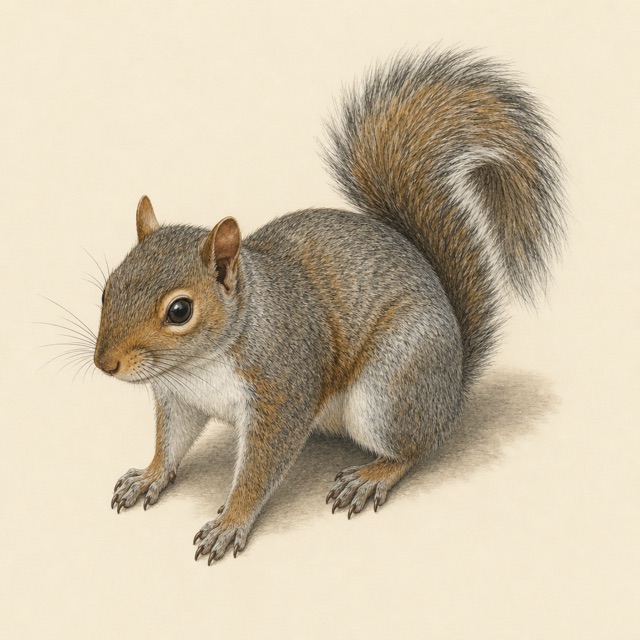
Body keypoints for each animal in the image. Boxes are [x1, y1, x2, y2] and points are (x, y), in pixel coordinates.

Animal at [95, 49, 565, 564]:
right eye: (106, 290)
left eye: (180, 311)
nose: (104, 363)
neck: (199, 364)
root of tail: (453, 387)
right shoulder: (180, 398)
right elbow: (171, 442)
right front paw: (149, 477)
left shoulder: (282, 389)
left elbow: (259, 468)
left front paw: (230, 522)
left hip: (391, 388)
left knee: (415, 449)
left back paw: (371, 476)